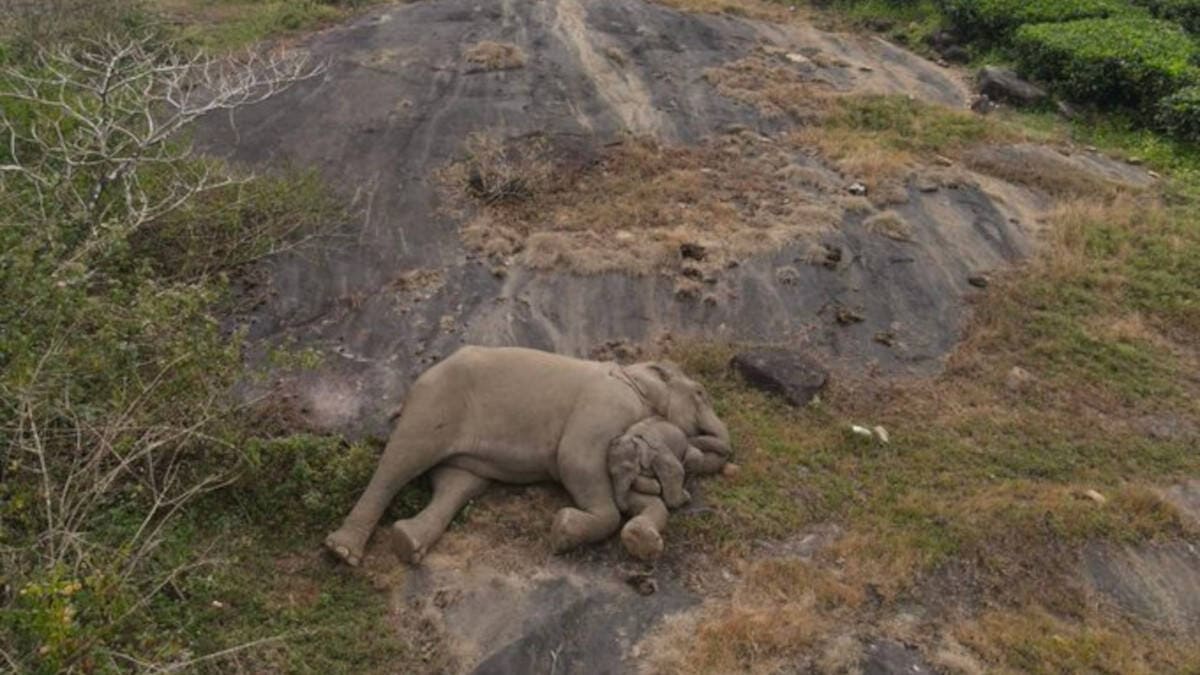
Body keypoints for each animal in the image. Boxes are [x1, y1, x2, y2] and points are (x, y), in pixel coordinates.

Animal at [321, 345, 729, 562]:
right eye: (701, 394)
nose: (686, 497)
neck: (634, 373)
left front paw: (642, 538)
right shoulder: (605, 405)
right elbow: (577, 460)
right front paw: (563, 531)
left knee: (457, 484)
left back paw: (407, 543)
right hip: (434, 404)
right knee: (400, 462)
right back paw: (343, 552)